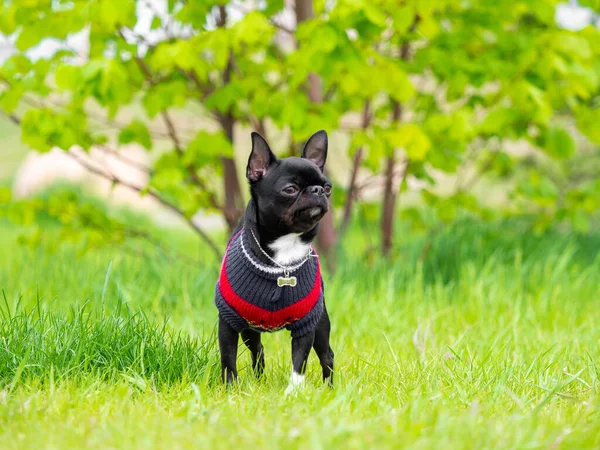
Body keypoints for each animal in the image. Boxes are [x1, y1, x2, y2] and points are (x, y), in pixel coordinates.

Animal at [216, 128, 336, 392]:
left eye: (328, 187)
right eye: (290, 189)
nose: (318, 190)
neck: (285, 251)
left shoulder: (306, 325)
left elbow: (299, 362)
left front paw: (294, 392)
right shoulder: (228, 321)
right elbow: (228, 358)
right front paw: (229, 390)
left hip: (321, 322)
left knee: (327, 355)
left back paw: (331, 389)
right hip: (249, 330)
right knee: (258, 350)